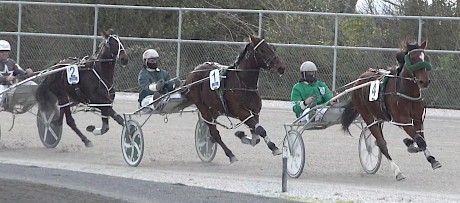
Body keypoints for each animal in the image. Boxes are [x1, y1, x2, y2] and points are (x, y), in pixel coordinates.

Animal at [184, 35, 286, 163]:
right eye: (262, 50)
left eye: (272, 48)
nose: (281, 67)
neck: (244, 83)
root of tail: (192, 73)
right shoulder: (241, 112)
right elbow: (260, 130)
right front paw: (274, 147)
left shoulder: (255, 112)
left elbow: (256, 136)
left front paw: (241, 135)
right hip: (203, 107)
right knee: (214, 132)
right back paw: (230, 154)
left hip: (215, 108)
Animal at [342, 40, 442, 181]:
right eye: (412, 59)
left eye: (426, 58)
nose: (424, 81)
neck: (406, 91)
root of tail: (360, 79)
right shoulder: (403, 120)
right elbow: (420, 141)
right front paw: (413, 146)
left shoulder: (418, 120)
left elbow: (421, 140)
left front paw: (424, 154)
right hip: (367, 116)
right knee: (381, 143)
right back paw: (397, 171)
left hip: (378, 116)